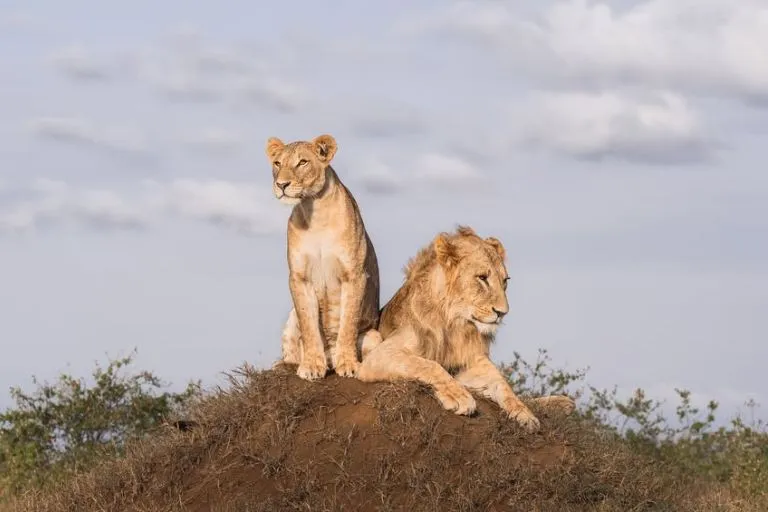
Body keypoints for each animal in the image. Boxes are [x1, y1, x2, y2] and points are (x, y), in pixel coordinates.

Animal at [266, 134, 382, 381]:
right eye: (277, 163)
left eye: (302, 162)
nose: (281, 185)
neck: (315, 212)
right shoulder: (299, 277)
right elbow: (308, 327)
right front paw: (311, 366)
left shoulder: (354, 274)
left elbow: (348, 322)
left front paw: (348, 364)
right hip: (290, 319)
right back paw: (284, 365)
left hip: (375, 336)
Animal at [357, 226, 575, 432]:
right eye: (482, 278)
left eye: (505, 281)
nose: (502, 312)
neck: (454, 325)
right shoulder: (381, 355)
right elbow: (428, 364)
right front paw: (459, 397)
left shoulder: (472, 361)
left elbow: (502, 383)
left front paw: (524, 414)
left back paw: (562, 403)